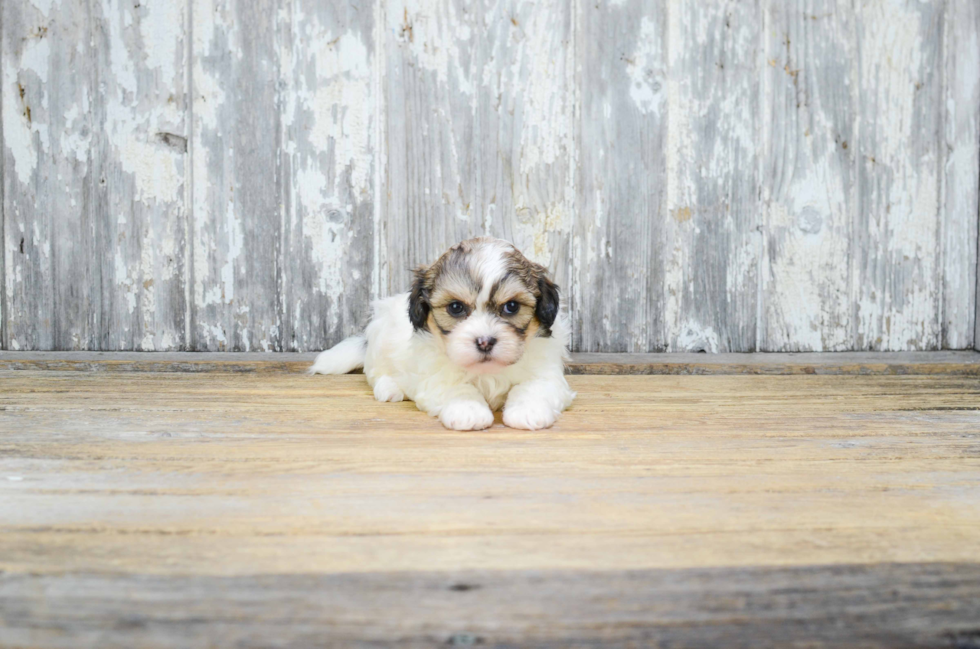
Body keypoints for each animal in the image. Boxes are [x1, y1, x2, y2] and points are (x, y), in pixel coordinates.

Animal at [310, 235, 576, 428]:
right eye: (456, 307)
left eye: (511, 306)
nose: (485, 342)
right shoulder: (434, 373)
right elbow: (456, 387)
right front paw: (468, 409)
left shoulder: (545, 371)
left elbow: (534, 386)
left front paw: (528, 411)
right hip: (381, 340)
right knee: (377, 372)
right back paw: (390, 387)